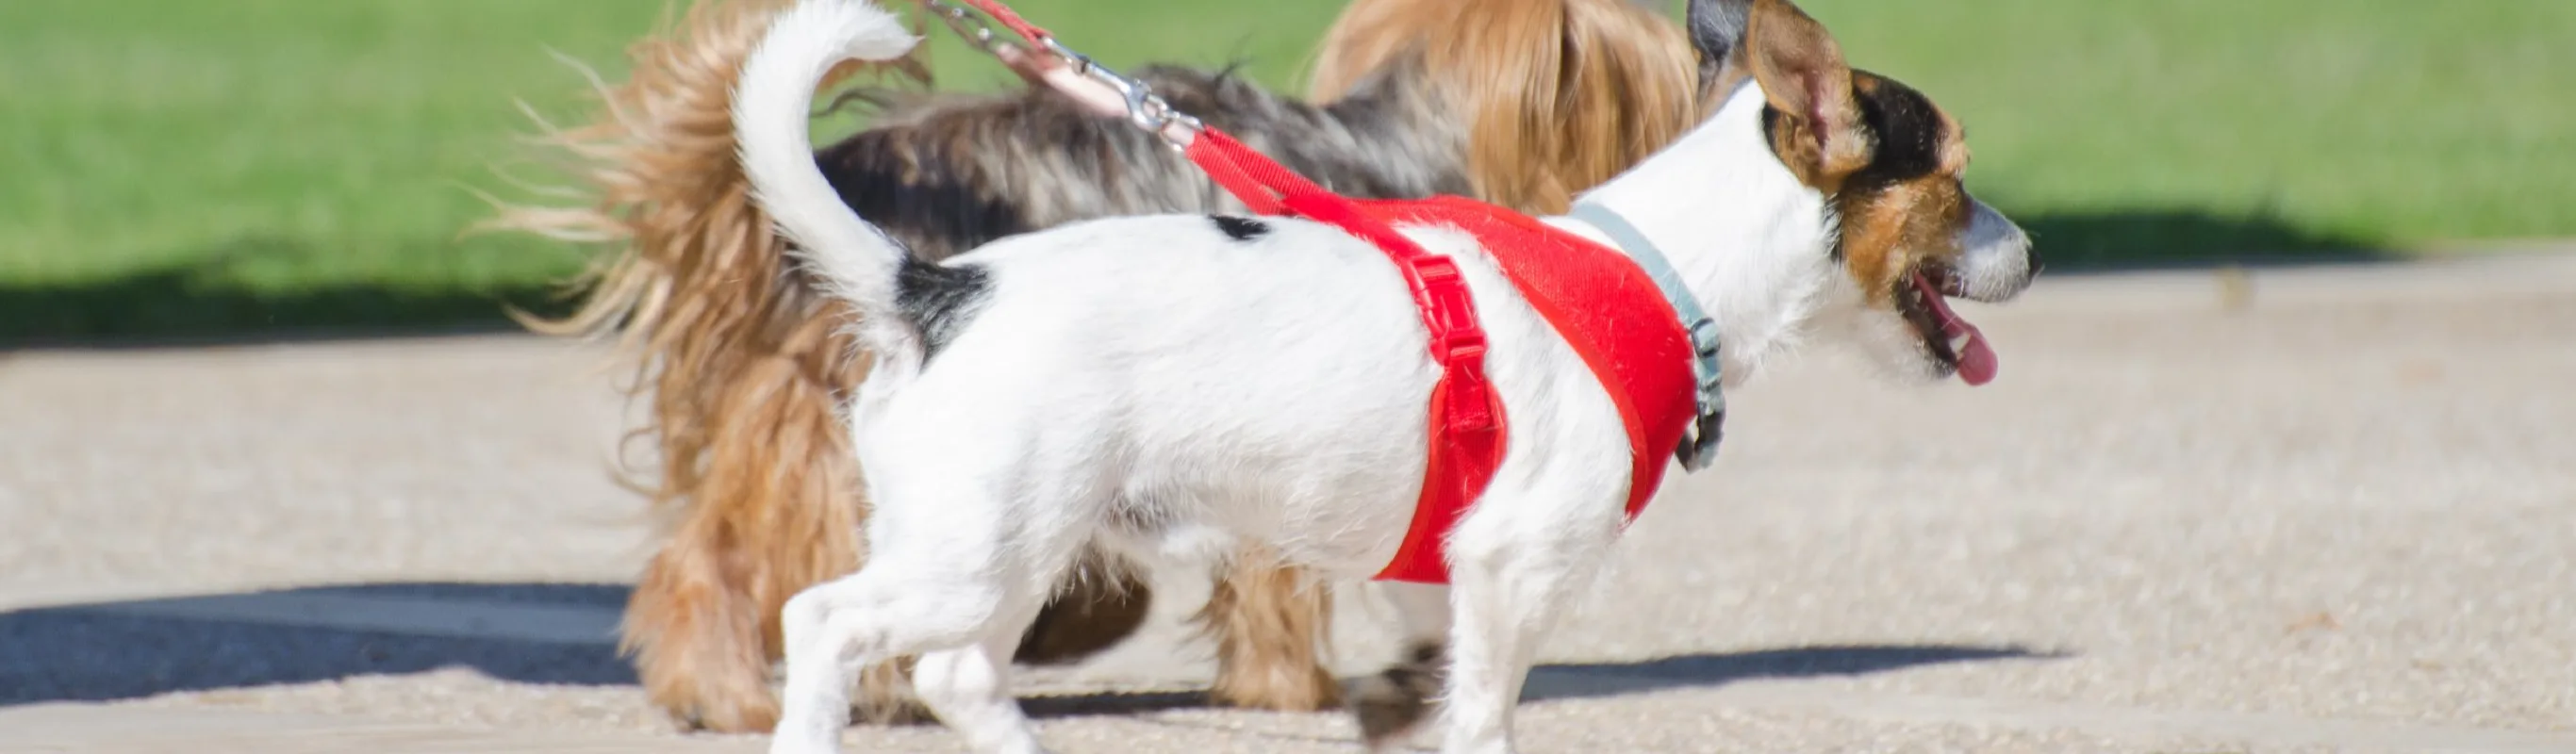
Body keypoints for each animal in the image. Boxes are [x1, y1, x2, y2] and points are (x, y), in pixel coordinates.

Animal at [497, 0, 1710, 730]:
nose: (1715, 42)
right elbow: (1281, 584)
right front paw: (1293, 685)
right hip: (879, 458)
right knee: (801, 579)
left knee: (702, 559)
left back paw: (724, 690)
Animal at [741, 0, 2029, 746]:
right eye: (1954, 176)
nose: (2026, 251)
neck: (1659, 268)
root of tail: (931, 287)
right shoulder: (1509, 571)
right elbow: (1484, 718)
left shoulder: (1439, 577)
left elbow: (1425, 686)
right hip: (978, 552)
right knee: (821, 622)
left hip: (1008, 553)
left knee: (955, 672)